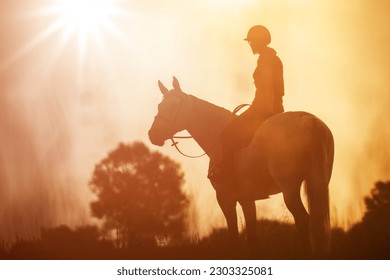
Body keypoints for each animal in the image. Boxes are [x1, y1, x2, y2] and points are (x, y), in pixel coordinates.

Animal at [148, 76, 334, 256]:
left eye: (175, 105)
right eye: (159, 106)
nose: (153, 135)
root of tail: (309, 120)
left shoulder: (225, 199)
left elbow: (234, 239)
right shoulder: (247, 200)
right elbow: (252, 240)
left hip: (290, 189)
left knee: (303, 220)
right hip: (318, 183)